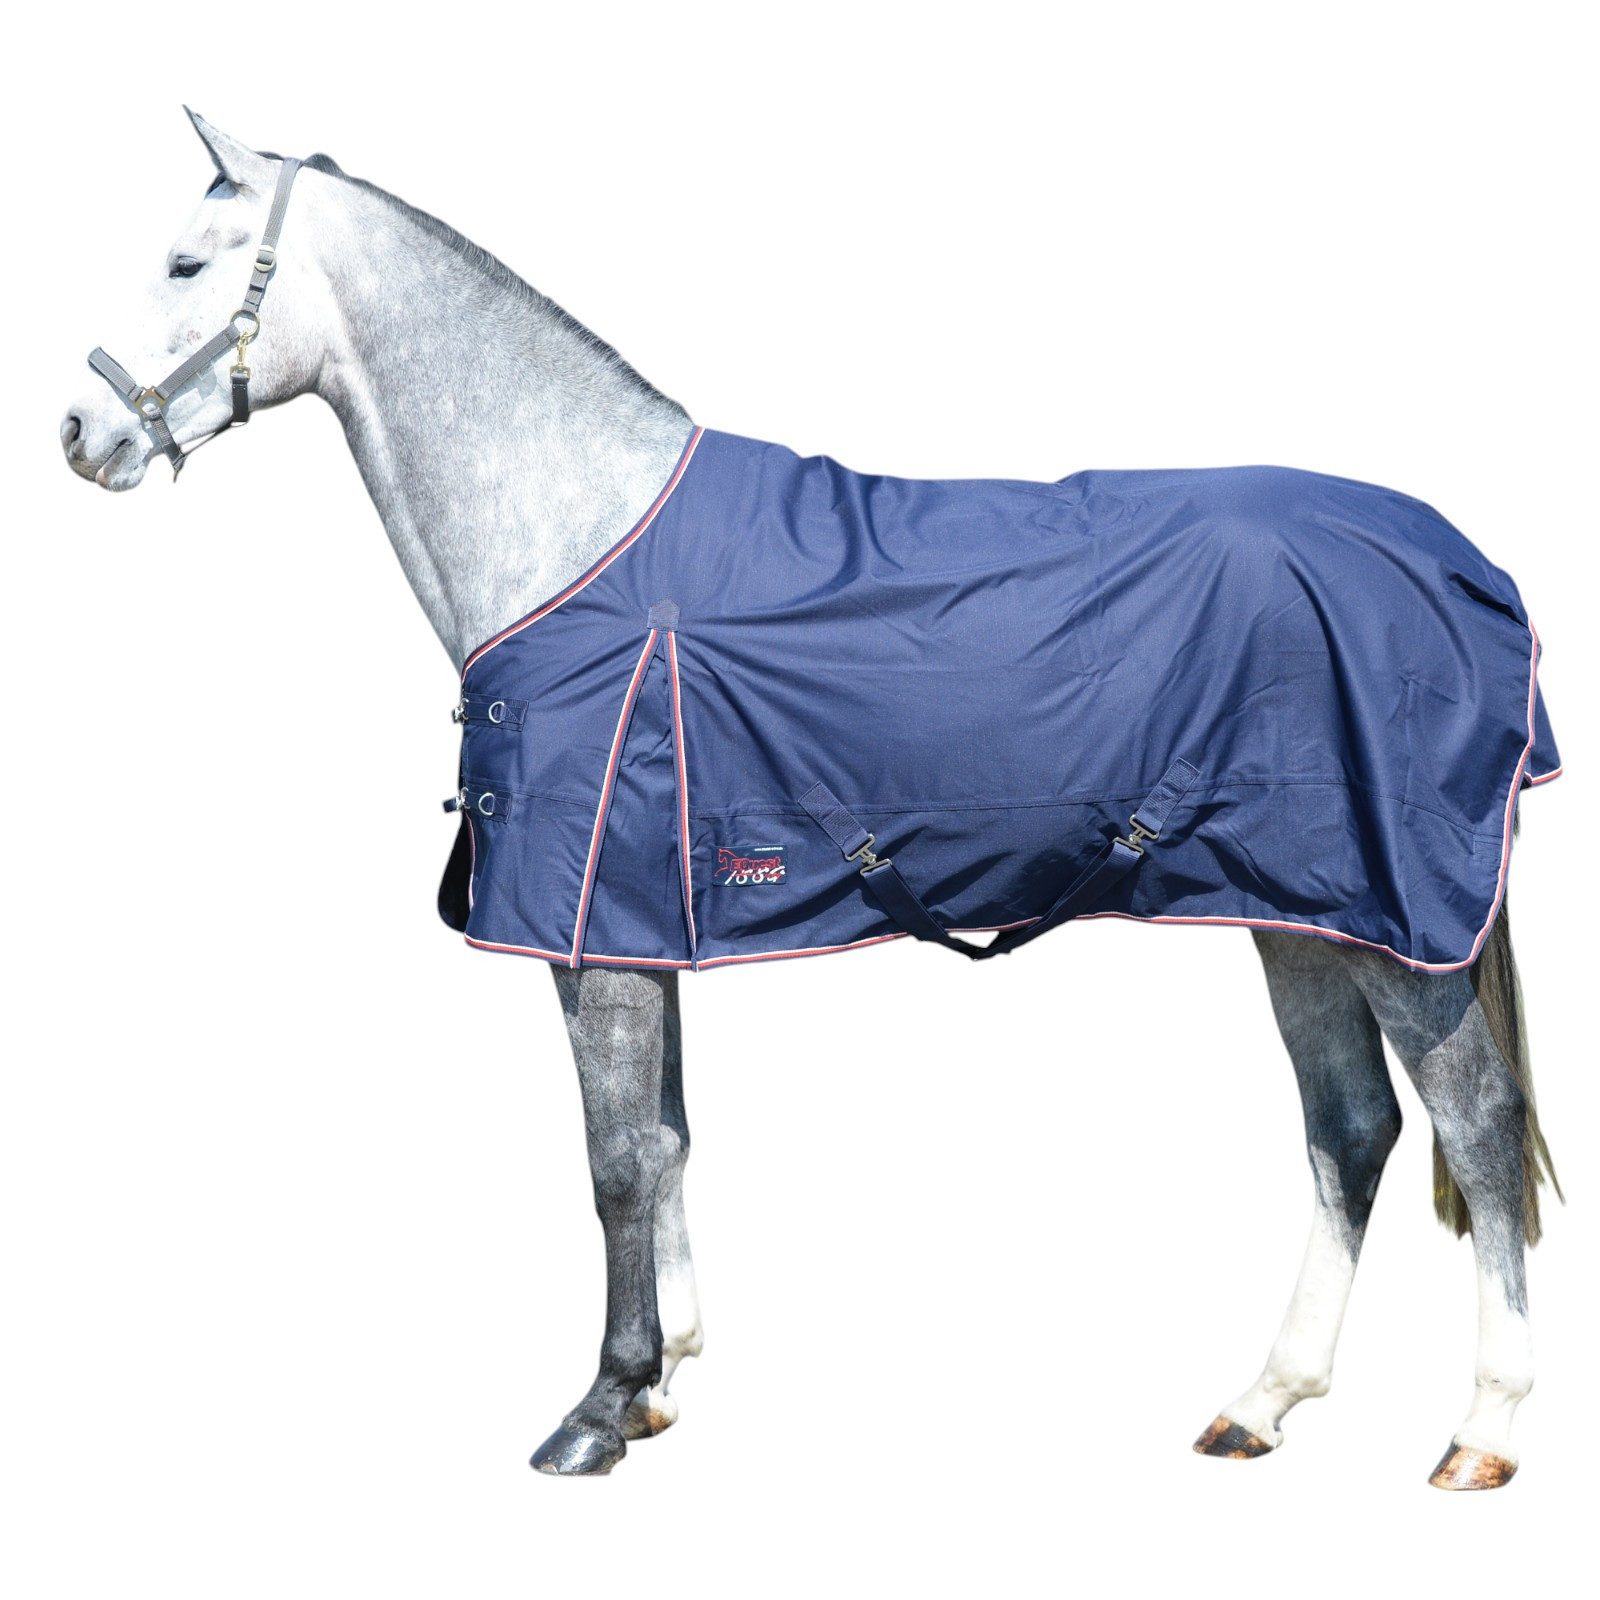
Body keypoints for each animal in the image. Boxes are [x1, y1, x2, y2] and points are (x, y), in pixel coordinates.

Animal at [59, 111, 1562, 1487]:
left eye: (186, 261)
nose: (80, 431)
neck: (580, 538)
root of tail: (1460, 560)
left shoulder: (591, 934)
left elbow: (614, 1159)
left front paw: (598, 1408)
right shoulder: (639, 925)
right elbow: (666, 1141)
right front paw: (662, 1381)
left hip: (1397, 930)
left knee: (1478, 1128)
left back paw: (1483, 1431)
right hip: (1295, 912)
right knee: (1351, 1130)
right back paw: (1262, 1400)